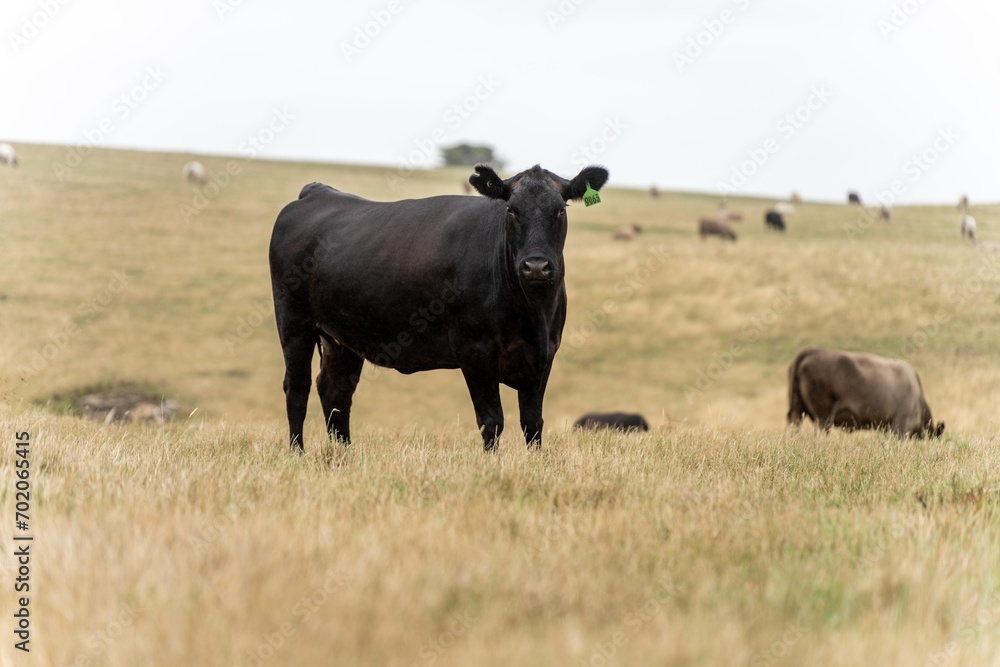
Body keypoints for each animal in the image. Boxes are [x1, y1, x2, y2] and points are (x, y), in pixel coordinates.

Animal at [268, 164, 608, 452]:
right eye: (511, 210)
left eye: (560, 210)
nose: (536, 265)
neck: (531, 312)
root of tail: (318, 192)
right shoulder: (475, 352)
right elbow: (492, 421)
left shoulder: (543, 354)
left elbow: (532, 423)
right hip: (294, 322)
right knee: (297, 386)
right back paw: (297, 452)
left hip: (342, 335)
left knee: (335, 390)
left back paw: (345, 455)